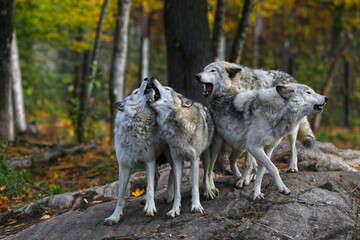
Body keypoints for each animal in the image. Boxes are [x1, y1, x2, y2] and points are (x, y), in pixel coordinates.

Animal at [103, 79, 169, 225]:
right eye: (135, 91)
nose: (146, 78)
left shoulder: (149, 161)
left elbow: (149, 188)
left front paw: (150, 208)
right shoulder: (124, 166)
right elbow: (120, 195)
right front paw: (115, 216)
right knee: (157, 176)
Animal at [144, 77, 217, 218]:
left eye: (167, 88)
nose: (151, 78)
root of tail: (202, 105)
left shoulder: (194, 159)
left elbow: (195, 188)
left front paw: (196, 206)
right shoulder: (177, 160)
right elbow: (178, 190)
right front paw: (174, 209)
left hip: (205, 156)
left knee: (207, 174)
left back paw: (208, 191)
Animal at [195, 60, 316, 188]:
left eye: (213, 70)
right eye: (204, 69)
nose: (197, 76)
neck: (237, 87)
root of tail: (290, 77)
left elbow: (248, 162)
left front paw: (245, 179)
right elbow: (251, 161)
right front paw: (249, 176)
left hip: (291, 131)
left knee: (293, 148)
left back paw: (292, 167)